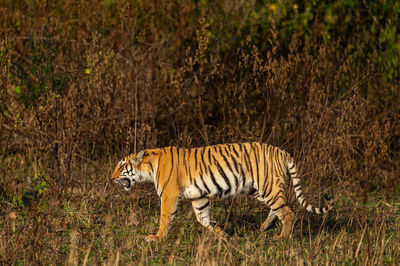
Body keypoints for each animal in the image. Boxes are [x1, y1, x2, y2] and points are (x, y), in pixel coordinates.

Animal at [111, 143, 332, 241]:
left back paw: (282, 237)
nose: (111, 178)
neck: (149, 166)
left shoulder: (169, 195)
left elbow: (165, 218)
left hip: (268, 186)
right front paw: (222, 233)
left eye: (121, 166)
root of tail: (282, 151)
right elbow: (203, 219)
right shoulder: (199, 196)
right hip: (260, 189)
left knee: (288, 212)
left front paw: (156, 237)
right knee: (281, 207)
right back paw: (265, 227)